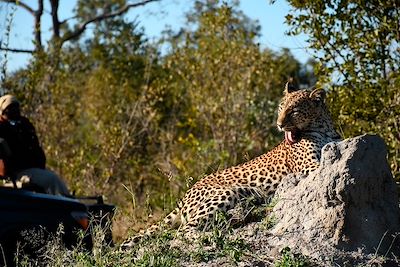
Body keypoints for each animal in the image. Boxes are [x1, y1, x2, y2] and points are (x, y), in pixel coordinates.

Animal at [121, 80, 340, 250]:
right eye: (280, 107)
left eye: (294, 111)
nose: (278, 124)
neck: (324, 129)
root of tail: (184, 197)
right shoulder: (309, 167)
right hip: (229, 192)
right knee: (184, 231)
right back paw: (211, 237)